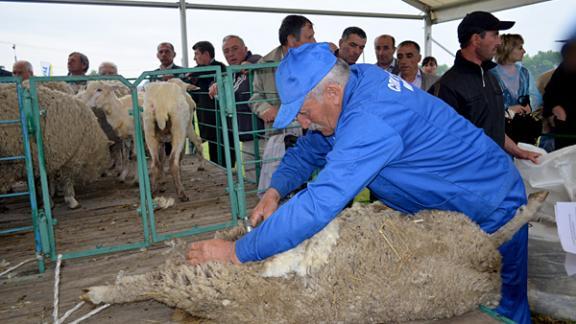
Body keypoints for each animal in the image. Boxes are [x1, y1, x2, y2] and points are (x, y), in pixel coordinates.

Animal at [83, 194, 548, 322]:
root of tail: (485, 261)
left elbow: (141, 283)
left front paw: (99, 291)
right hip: (455, 228)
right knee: (501, 232)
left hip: (455, 227)